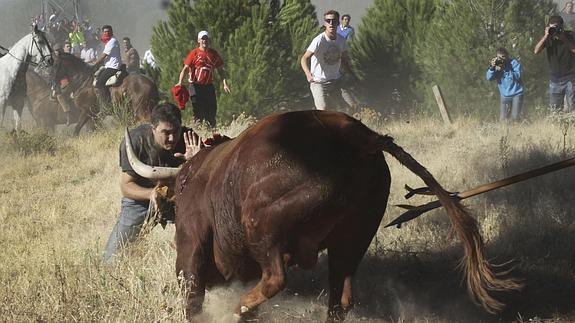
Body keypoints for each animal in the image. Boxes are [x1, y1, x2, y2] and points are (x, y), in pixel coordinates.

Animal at [128, 110, 524, 322]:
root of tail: (359, 136)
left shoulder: (189, 255)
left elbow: (192, 297)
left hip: (262, 226)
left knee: (275, 278)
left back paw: (239, 308)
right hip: (352, 238)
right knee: (340, 298)